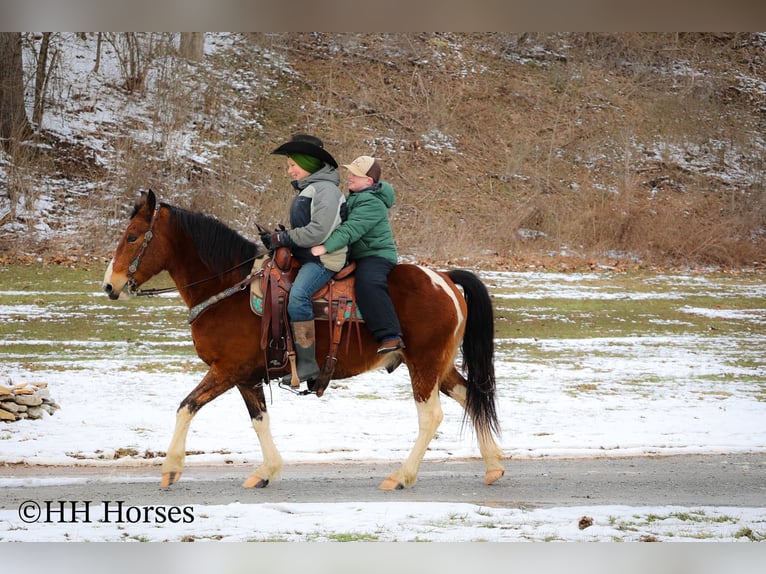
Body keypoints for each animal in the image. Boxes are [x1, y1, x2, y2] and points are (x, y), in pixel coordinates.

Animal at [102, 189, 504, 490]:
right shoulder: (247, 377)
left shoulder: (226, 371)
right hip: (438, 365)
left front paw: (170, 468)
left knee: (431, 416)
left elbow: (187, 406)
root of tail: (444, 279)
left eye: (132, 237)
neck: (229, 291)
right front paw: (267, 470)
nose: (110, 285)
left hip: (423, 364)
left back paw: (402, 475)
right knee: (471, 396)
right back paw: (494, 465)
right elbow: (259, 419)